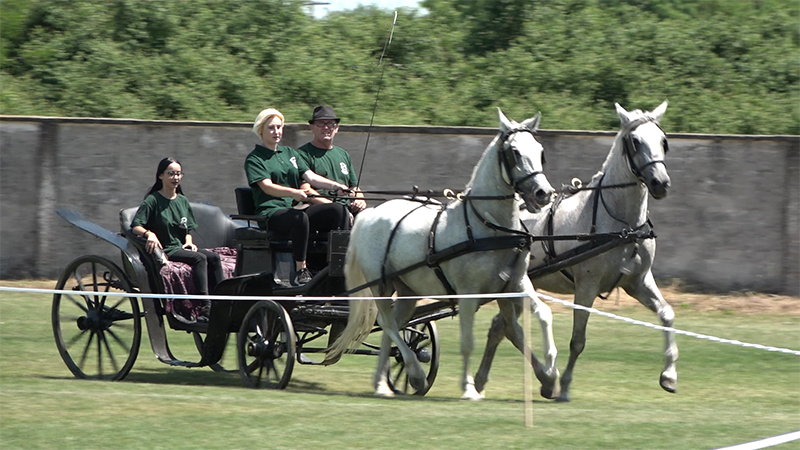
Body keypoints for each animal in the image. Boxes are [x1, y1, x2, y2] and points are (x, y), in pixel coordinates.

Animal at [328, 109, 560, 400]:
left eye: (541, 151)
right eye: (514, 153)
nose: (543, 193)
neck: (489, 226)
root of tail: (371, 213)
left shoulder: (515, 285)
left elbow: (537, 318)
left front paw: (549, 373)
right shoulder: (469, 293)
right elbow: (468, 342)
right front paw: (469, 388)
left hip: (408, 290)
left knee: (393, 326)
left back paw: (382, 383)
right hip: (381, 285)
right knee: (387, 322)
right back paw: (413, 374)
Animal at [472, 101, 680, 400]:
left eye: (664, 141)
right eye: (635, 141)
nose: (660, 183)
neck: (620, 224)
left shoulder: (639, 281)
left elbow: (667, 314)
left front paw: (669, 375)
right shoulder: (587, 286)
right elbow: (578, 340)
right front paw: (566, 386)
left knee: (502, 328)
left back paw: (484, 381)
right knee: (507, 328)